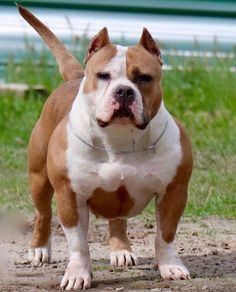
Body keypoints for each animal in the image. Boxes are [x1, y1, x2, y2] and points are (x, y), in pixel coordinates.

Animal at [17, 4, 193, 290]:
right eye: (103, 76)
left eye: (144, 78)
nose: (123, 91)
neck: (118, 138)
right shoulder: (70, 195)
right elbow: (78, 244)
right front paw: (77, 274)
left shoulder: (173, 192)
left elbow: (165, 235)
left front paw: (171, 267)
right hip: (39, 178)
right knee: (42, 213)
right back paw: (39, 249)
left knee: (118, 219)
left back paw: (121, 250)